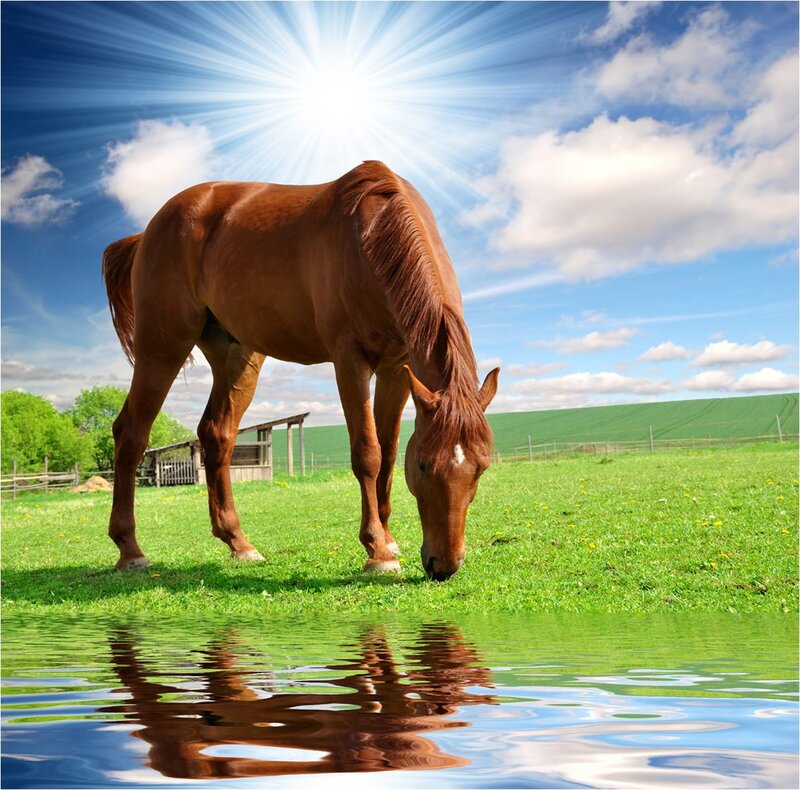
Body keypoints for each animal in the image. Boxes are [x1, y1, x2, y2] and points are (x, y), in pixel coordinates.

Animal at [102, 160, 499, 581]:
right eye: (423, 465)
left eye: (480, 468)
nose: (445, 565)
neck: (371, 236)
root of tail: (147, 232)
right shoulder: (349, 359)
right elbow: (368, 453)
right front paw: (377, 551)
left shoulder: (397, 367)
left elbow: (389, 453)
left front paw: (389, 539)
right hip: (162, 347)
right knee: (131, 433)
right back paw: (130, 550)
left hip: (236, 356)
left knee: (217, 434)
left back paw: (238, 543)